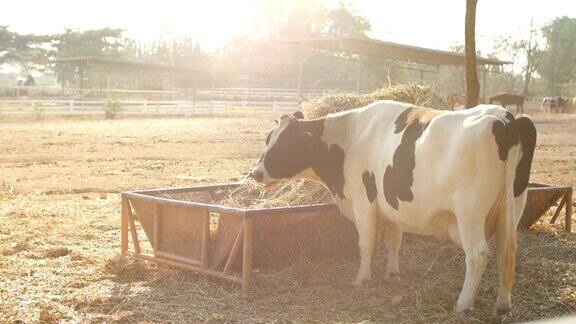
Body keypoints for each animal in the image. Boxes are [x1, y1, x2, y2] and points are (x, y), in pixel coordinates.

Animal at [250, 100, 536, 314]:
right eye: (268, 139)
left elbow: (365, 244)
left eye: (285, 143)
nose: (255, 173)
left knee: (478, 255)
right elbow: (393, 241)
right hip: (511, 208)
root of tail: (505, 117)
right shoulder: (394, 208)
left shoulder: (364, 201)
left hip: (469, 214)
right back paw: (503, 304)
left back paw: (463, 304)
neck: (351, 138)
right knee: (506, 252)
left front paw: (362, 279)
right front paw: (392, 273)